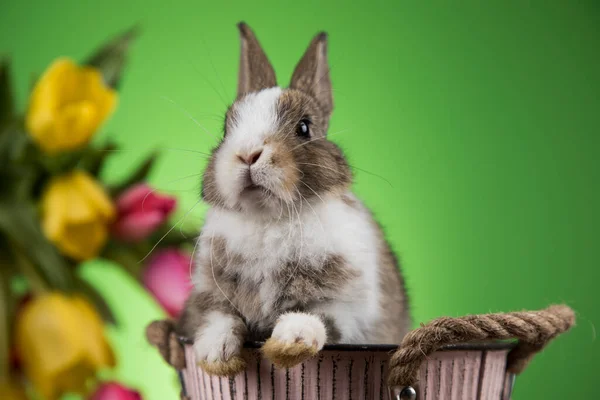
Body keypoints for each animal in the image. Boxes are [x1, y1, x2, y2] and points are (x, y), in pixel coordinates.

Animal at [176, 22, 410, 378]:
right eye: (226, 128)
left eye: (304, 127)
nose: (248, 154)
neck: (268, 219)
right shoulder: (209, 295)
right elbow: (220, 317)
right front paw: (215, 355)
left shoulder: (349, 307)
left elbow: (317, 316)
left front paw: (290, 343)